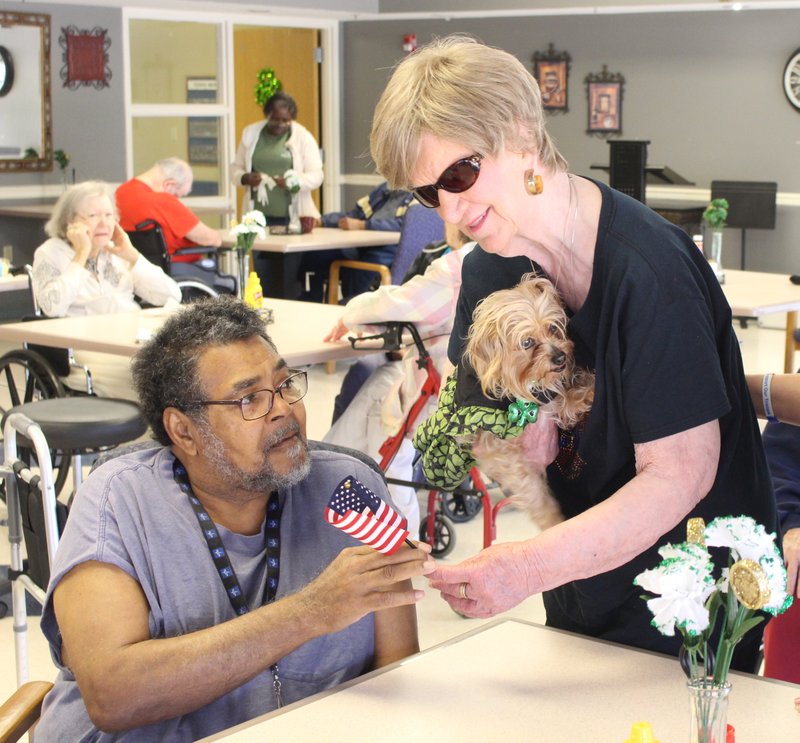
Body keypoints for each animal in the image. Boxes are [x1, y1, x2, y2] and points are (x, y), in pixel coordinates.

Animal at [462, 274, 592, 528]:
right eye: (527, 342)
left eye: (552, 327)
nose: (560, 357)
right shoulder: (502, 454)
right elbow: (534, 492)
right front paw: (554, 520)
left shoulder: (547, 402)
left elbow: (564, 401)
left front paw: (588, 389)